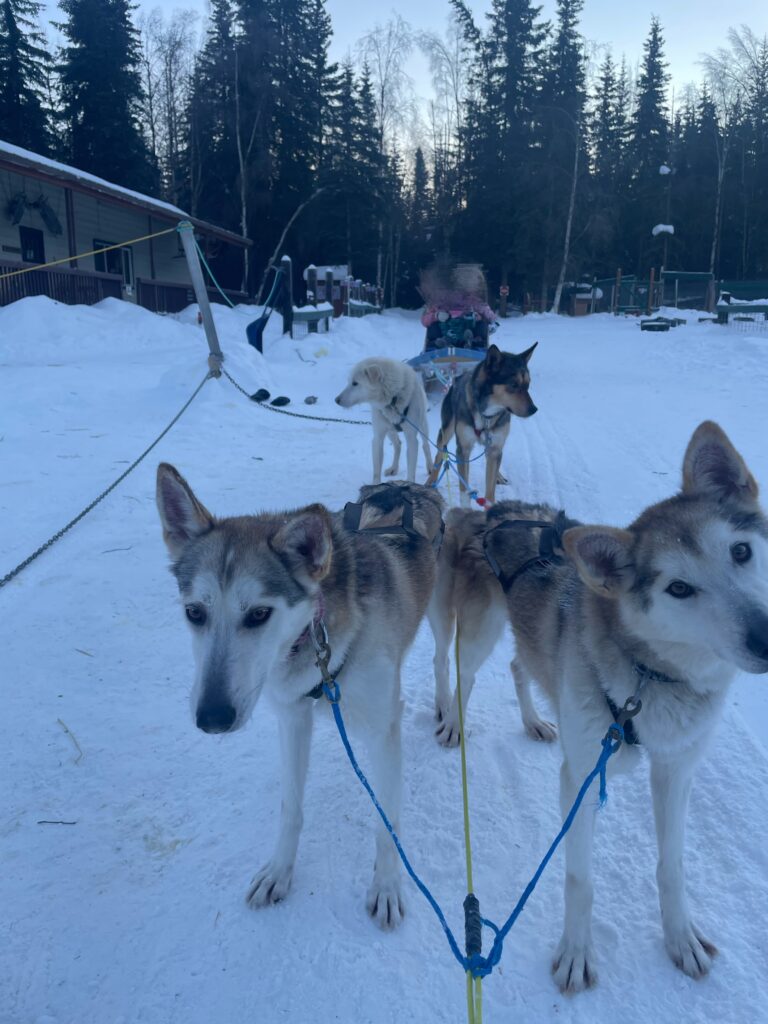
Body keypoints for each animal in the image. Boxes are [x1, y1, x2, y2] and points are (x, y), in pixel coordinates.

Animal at [154, 468, 444, 933]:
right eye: (194, 612)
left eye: (258, 614)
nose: (213, 717)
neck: (318, 638)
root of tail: (410, 485)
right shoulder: (292, 718)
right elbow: (291, 807)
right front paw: (279, 872)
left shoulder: (383, 731)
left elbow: (387, 820)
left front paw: (386, 887)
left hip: (442, 617)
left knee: (445, 662)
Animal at [428, 342, 540, 505]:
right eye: (514, 384)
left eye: (528, 385)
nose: (534, 409)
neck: (486, 417)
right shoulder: (463, 449)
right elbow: (464, 489)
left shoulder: (495, 448)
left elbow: (490, 489)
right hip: (446, 431)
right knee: (439, 454)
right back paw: (431, 481)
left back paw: (499, 476)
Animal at [430, 419, 768, 987]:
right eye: (679, 588)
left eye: (740, 552)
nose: (767, 637)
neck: (650, 677)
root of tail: (487, 511)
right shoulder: (582, 776)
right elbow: (579, 878)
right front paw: (575, 952)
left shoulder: (676, 771)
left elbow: (671, 866)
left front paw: (680, 937)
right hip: (478, 634)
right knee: (463, 676)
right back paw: (454, 723)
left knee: (519, 666)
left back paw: (534, 721)